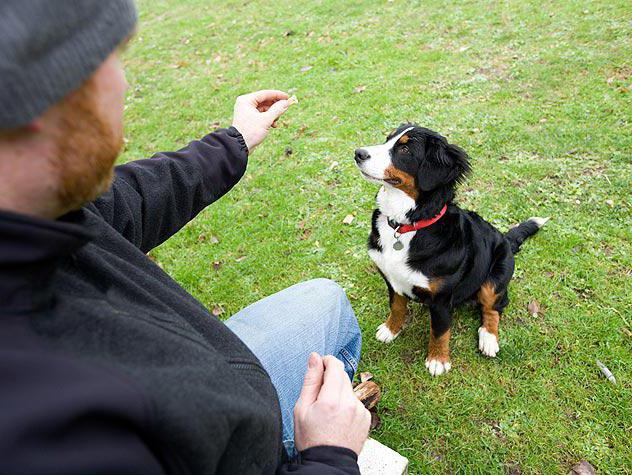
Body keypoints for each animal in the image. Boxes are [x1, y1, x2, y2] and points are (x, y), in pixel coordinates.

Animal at [356, 124, 548, 378]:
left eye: (405, 149)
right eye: (388, 139)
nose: (358, 153)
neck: (406, 225)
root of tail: (505, 239)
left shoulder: (441, 299)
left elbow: (439, 331)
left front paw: (438, 360)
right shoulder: (392, 280)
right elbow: (396, 307)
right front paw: (390, 330)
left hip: (495, 277)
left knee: (494, 307)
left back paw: (488, 339)